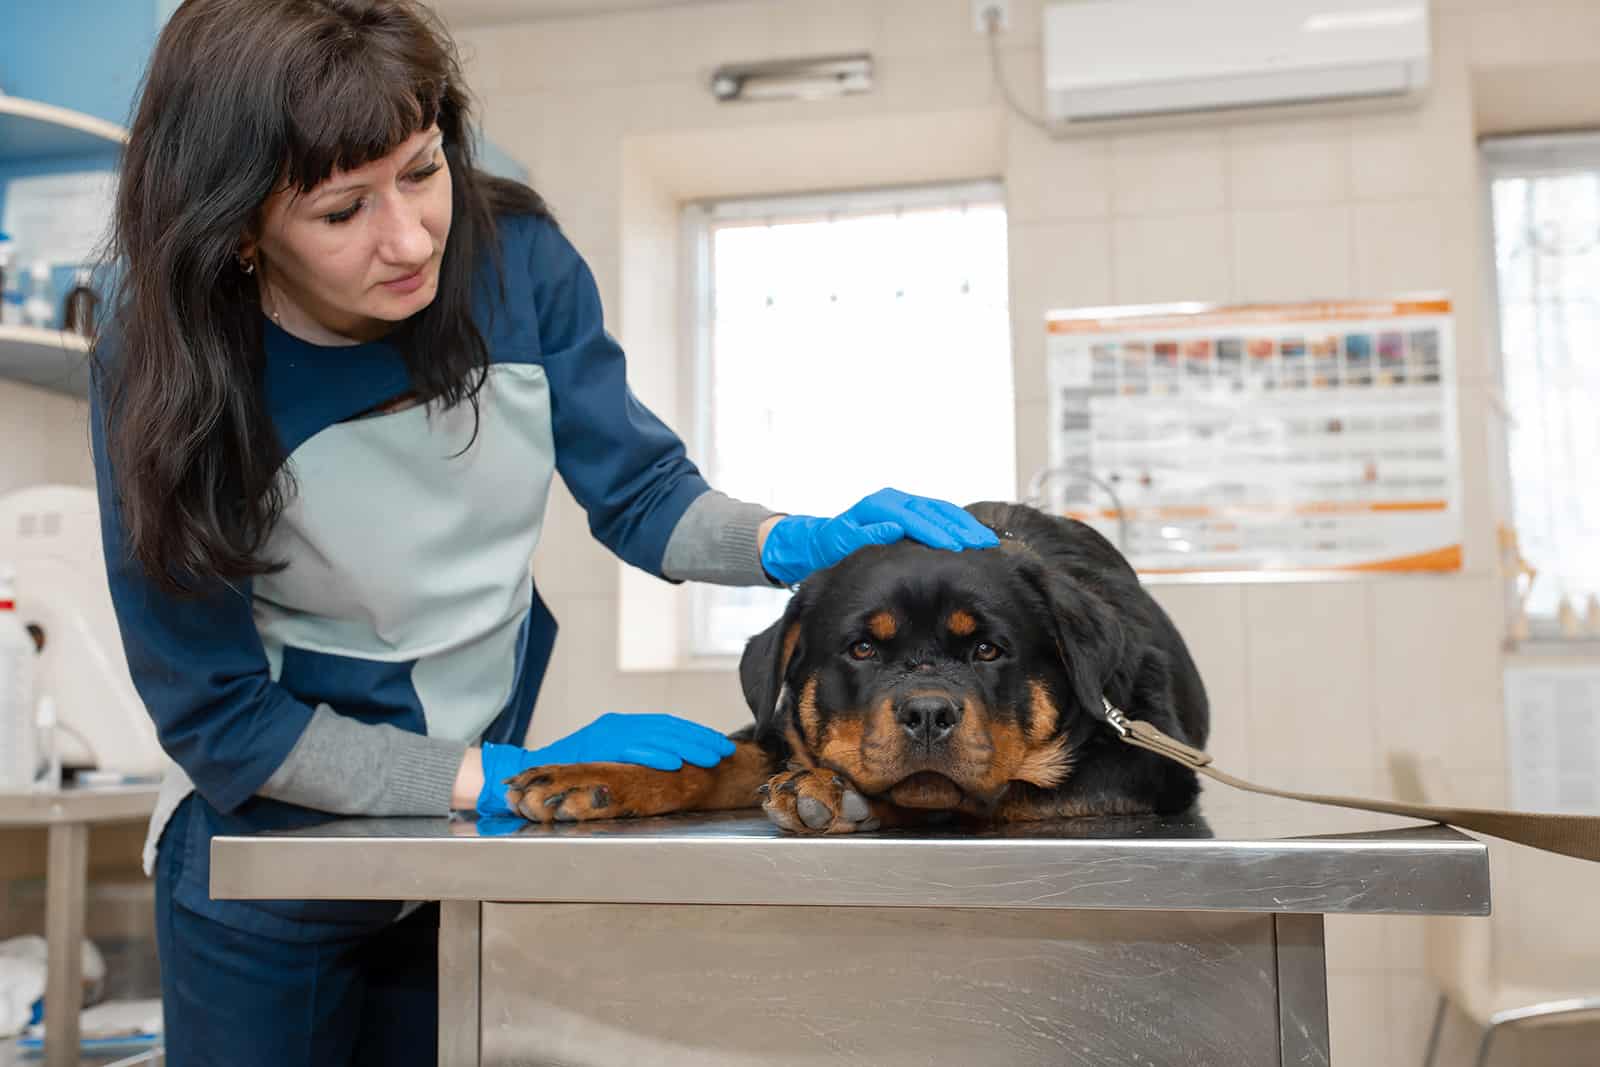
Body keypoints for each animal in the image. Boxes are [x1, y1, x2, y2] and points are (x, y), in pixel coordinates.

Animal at [505, 502, 1203, 831]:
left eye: (987, 650)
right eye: (862, 649)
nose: (928, 713)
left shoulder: (1144, 767)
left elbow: (979, 797)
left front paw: (837, 794)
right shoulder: (779, 728)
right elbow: (712, 760)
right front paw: (591, 775)